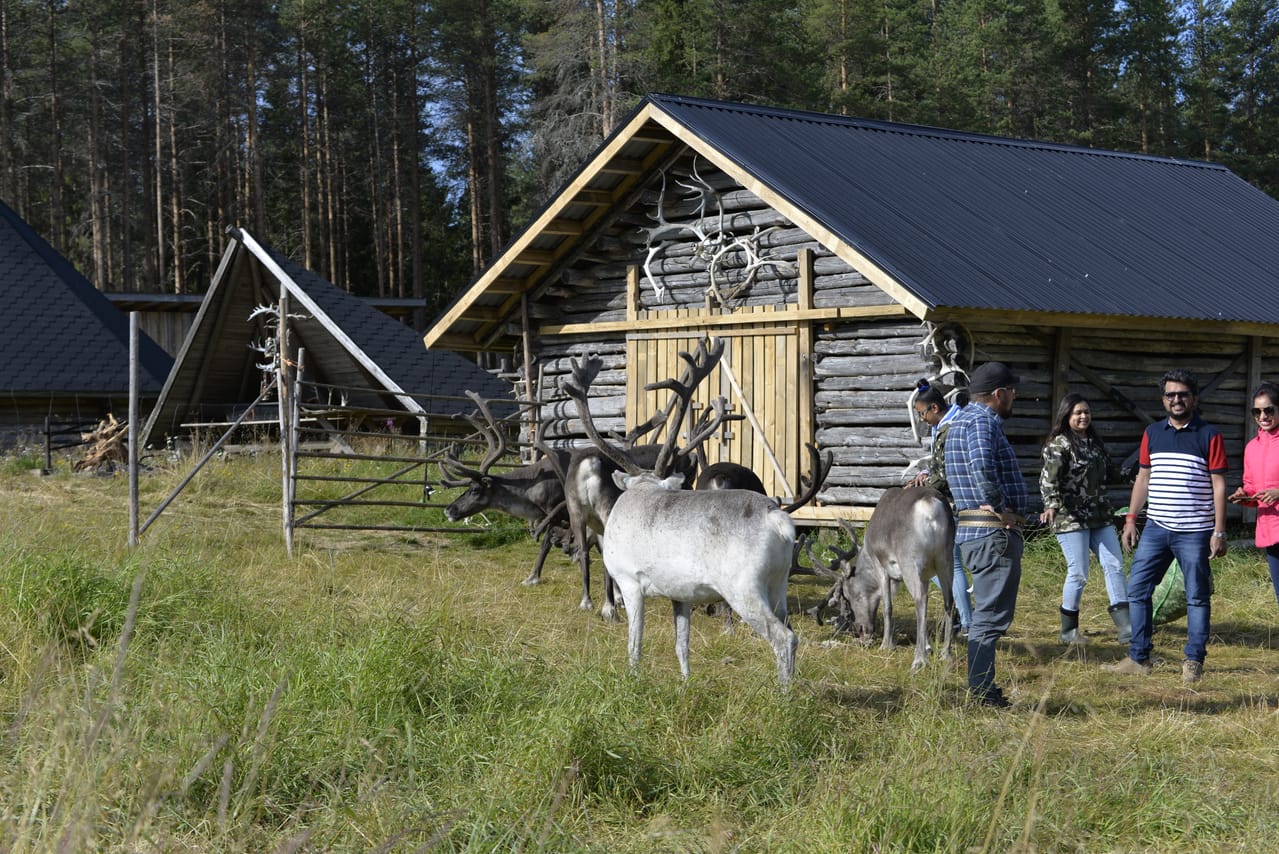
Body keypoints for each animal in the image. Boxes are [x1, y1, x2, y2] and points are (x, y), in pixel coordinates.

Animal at [808, 487, 956, 671]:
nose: (859, 630)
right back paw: (946, 653)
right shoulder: (926, 575)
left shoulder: (881, 566)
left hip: (910, 562)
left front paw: (886, 644)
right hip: (947, 558)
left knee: (921, 600)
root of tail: (931, 505)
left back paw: (919, 660)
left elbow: (887, 606)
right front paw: (928, 646)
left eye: (847, 596)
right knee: (949, 600)